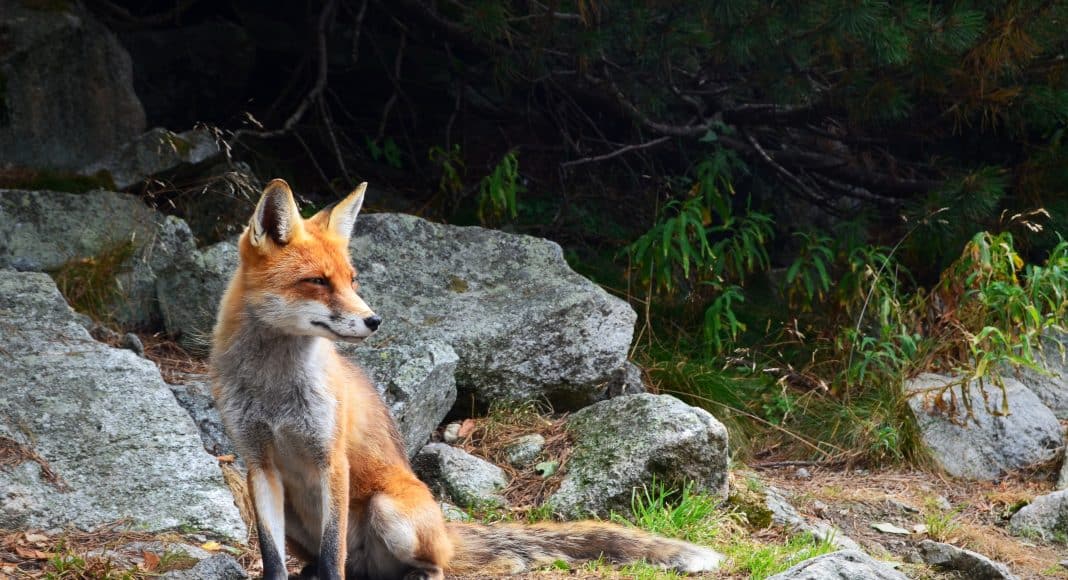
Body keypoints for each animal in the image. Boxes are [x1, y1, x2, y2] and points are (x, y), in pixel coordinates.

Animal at [210, 178, 725, 579]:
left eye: (352, 280)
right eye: (318, 281)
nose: (375, 321)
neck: (274, 389)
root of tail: (445, 530)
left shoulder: (331, 460)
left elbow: (333, 548)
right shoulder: (259, 464)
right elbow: (273, 560)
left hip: (389, 512)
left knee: (422, 566)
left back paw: (420, 573)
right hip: (300, 520)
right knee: (331, 562)